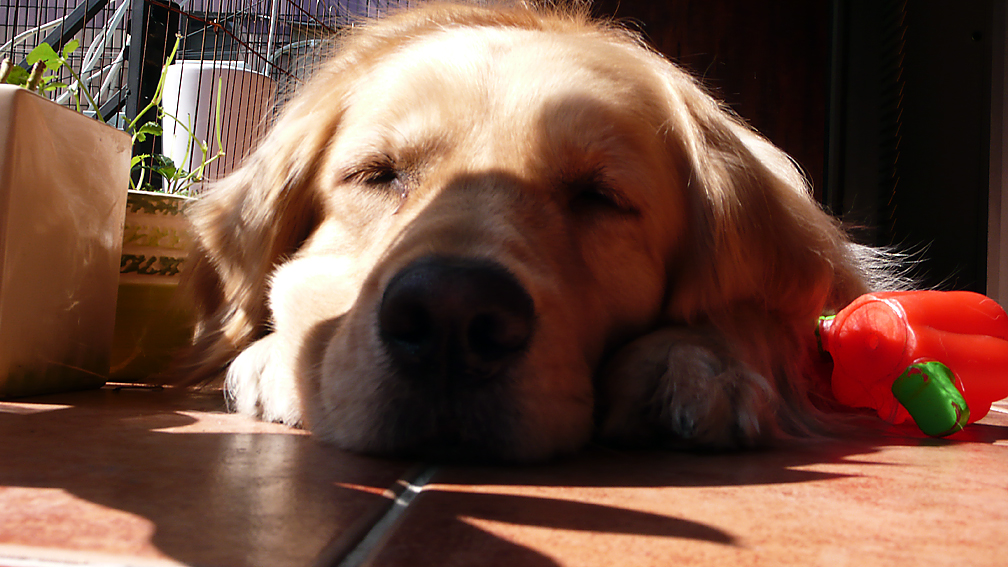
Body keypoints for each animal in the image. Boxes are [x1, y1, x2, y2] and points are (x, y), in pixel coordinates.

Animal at [182, 2, 895, 461]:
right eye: (376, 175)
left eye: (599, 196)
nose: (450, 317)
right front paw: (278, 359)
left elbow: (751, 312)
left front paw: (693, 361)